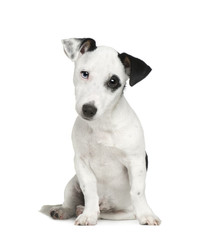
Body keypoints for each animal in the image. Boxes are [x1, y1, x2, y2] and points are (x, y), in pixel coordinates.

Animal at [41, 37, 161, 225]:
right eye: (84, 73)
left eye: (113, 81)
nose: (88, 109)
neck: (102, 125)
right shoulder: (81, 162)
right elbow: (89, 188)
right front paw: (88, 215)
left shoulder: (135, 161)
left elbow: (138, 190)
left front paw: (146, 215)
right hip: (72, 184)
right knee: (71, 203)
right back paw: (66, 210)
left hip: (124, 213)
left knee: (106, 213)